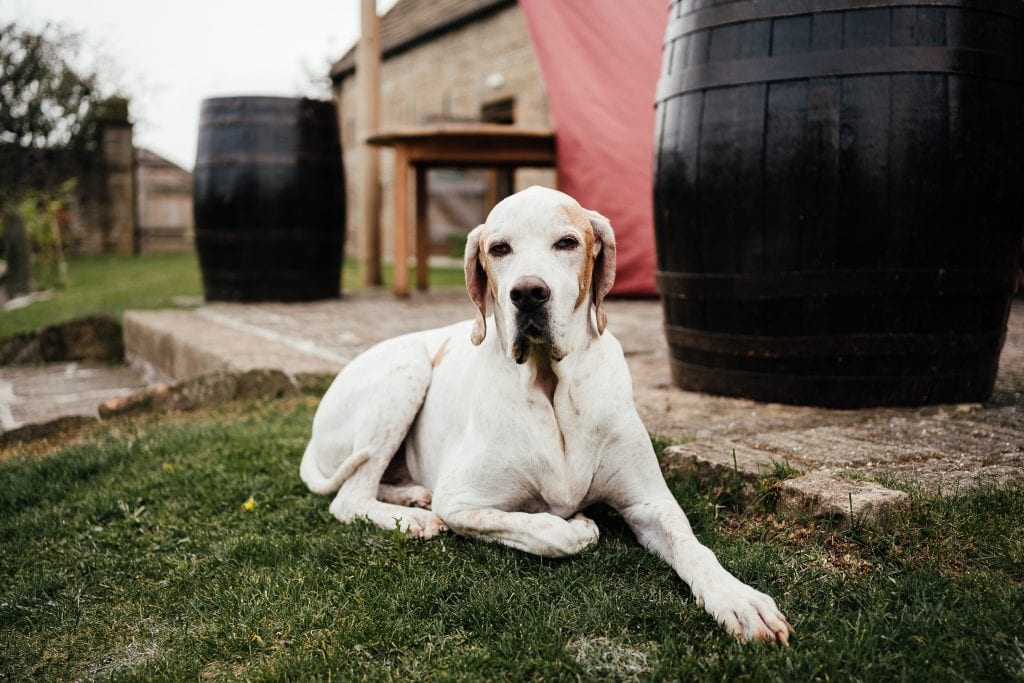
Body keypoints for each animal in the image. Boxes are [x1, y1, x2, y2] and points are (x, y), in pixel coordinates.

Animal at [299, 184, 794, 643]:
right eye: (499, 248)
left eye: (567, 242)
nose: (529, 293)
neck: (552, 386)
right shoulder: (460, 501)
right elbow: (547, 530)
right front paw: (577, 527)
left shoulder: (649, 502)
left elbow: (692, 546)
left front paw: (739, 599)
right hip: (408, 367)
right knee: (350, 497)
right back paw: (415, 516)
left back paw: (411, 497)